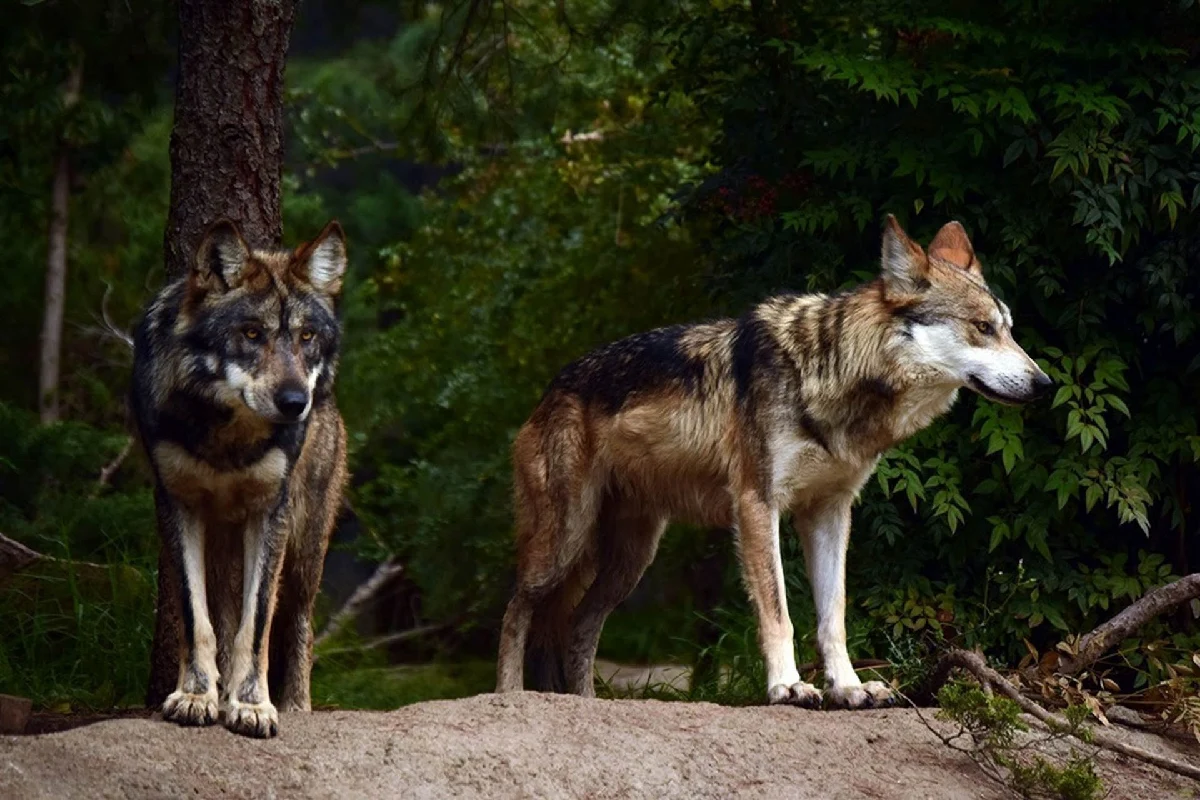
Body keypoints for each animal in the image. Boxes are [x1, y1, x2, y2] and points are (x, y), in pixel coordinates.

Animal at [131, 219, 349, 738]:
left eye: (306, 336)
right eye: (252, 333)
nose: (296, 404)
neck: (228, 436)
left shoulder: (272, 513)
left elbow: (257, 625)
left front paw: (251, 706)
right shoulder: (176, 504)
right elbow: (199, 619)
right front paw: (195, 696)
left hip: (306, 548)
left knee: (299, 624)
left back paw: (296, 706)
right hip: (225, 540)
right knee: (226, 618)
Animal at [496, 216, 1051, 708]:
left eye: (1009, 330)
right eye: (982, 328)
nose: (1045, 384)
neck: (833, 374)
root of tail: (552, 387)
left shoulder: (830, 513)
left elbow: (833, 616)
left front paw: (849, 688)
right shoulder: (757, 505)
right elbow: (778, 610)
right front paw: (788, 686)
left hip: (629, 561)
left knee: (578, 626)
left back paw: (586, 703)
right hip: (566, 542)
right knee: (517, 608)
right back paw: (508, 694)